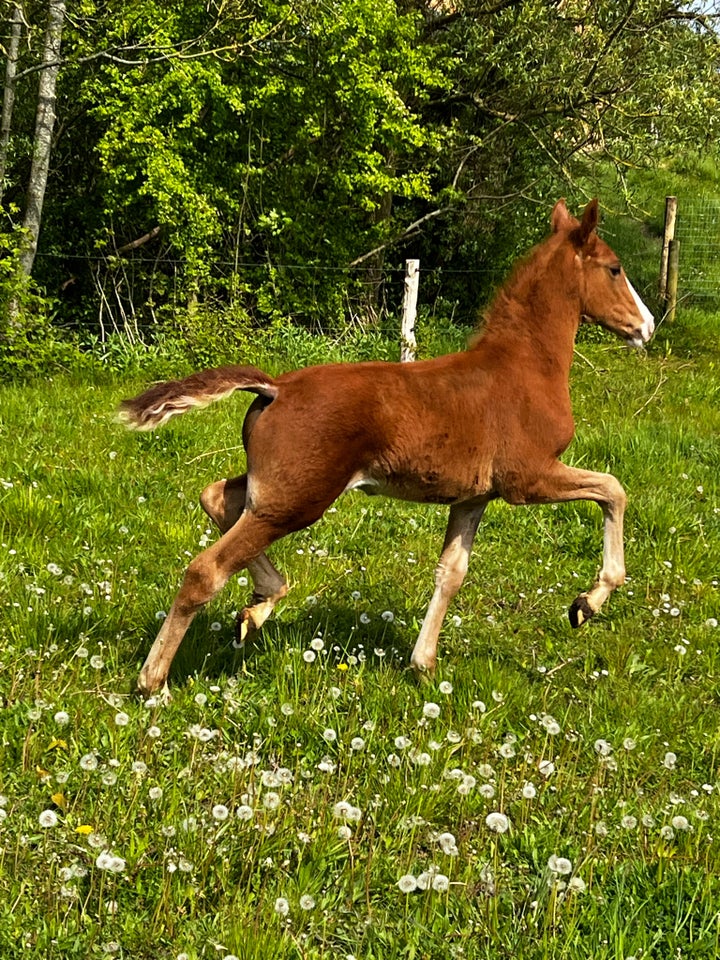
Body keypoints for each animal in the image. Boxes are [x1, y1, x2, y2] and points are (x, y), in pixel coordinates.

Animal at [121, 201, 656, 696]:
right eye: (614, 268)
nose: (647, 326)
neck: (525, 365)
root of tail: (276, 387)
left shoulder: (473, 496)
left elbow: (451, 572)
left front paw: (423, 665)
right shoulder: (528, 477)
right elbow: (614, 488)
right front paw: (587, 603)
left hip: (277, 487)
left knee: (216, 496)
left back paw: (259, 605)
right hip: (299, 498)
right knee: (204, 569)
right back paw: (153, 682)